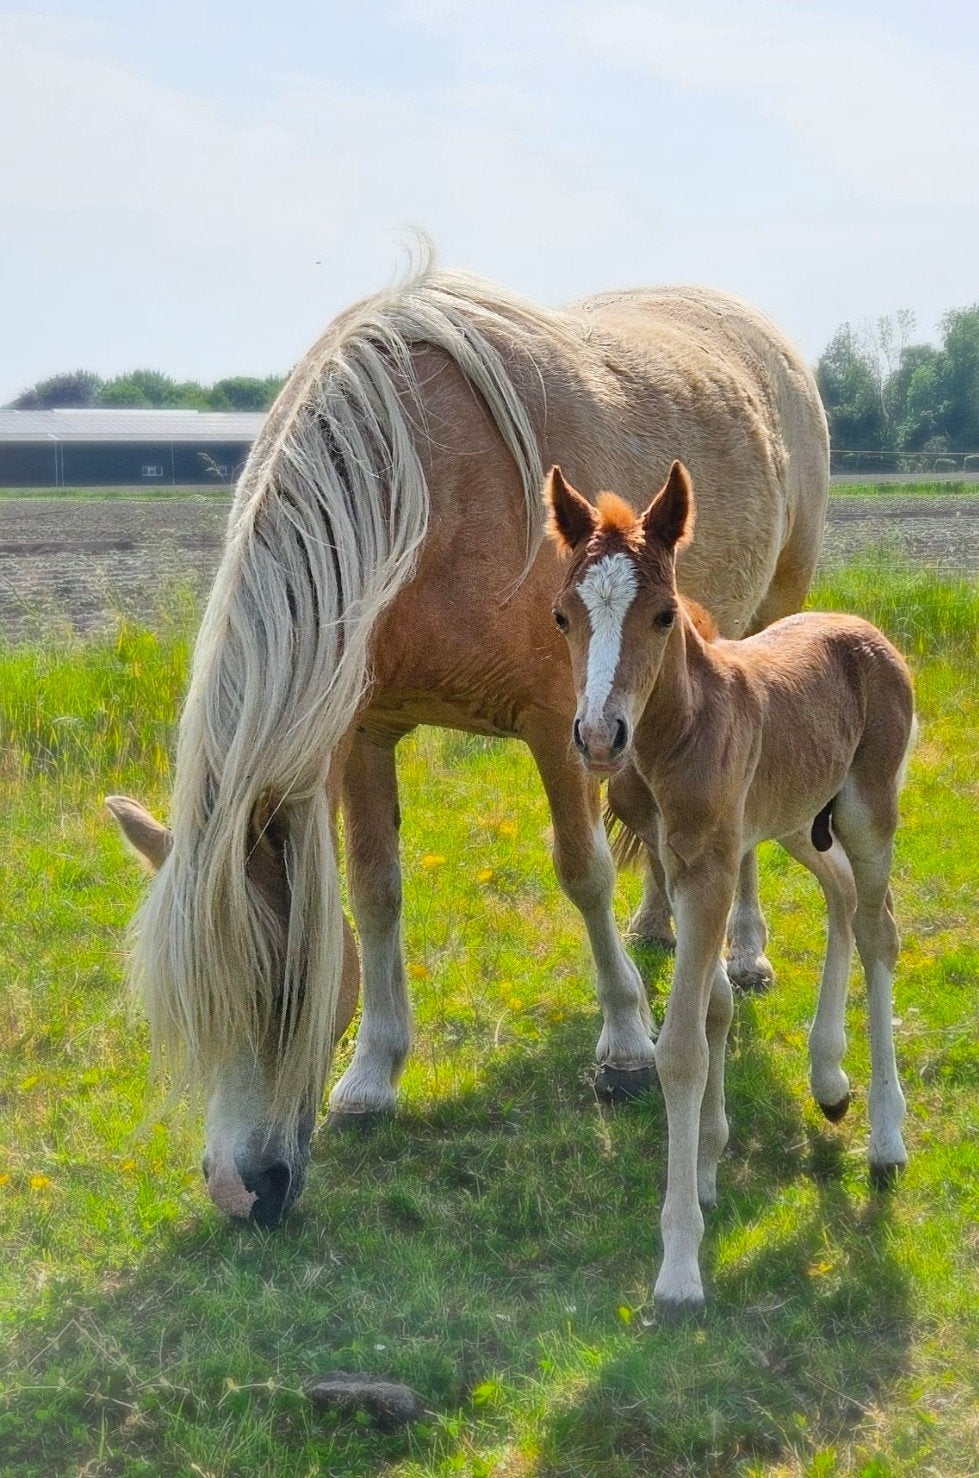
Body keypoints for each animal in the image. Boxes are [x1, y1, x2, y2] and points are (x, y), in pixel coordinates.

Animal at [107, 258, 829, 1228]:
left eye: (281, 990)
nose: (238, 1191)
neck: (422, 494)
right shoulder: (362, 732)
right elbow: (375, 891)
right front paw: (372, 1074)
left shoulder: (560, 724)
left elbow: (581, 873)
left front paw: (624, 1043)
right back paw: (659, 924)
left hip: (765, 623)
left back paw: (742, 951)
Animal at [545, 460, 915, 1313]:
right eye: (561, 616)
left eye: (662, 614)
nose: (597, 737)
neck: (681, 729)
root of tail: (865, 630)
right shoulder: (687, 861)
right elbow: (713, 1004)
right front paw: (709, 1162)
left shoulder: (711, 867)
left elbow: (681, 1045)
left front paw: (680, 1263)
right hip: (792, 818)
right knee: (841, 895)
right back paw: (828, 1077)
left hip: (864, 809)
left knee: (878, 929)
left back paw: (885, 1136)